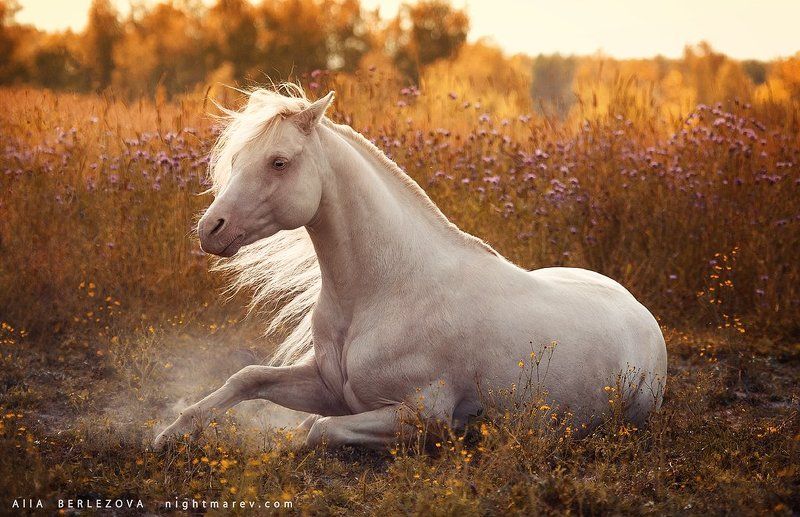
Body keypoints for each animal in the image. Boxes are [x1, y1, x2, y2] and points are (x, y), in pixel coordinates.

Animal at [154, 85, 667, 449]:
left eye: (278, 162)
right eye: (237, 158)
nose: (210, 229)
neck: (385, 292)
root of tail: (642, 313)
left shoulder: (420, 412)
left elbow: (316, 430)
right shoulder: (328, 386)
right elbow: (247, 378)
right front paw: (169, 436)